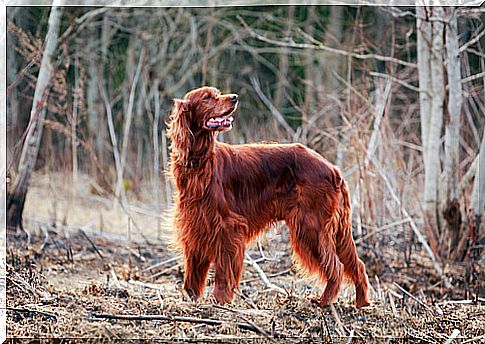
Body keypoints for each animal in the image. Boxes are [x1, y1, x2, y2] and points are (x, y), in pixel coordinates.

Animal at [168, 86, 368, 310]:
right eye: (206, 97)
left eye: (216, 93)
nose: (234, 97)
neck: (200, 163)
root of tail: (333, 169)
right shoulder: (195, 225)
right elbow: (192, 271)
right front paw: (189, 298)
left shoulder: (228, 227)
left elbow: (223, 269)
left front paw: (219, 300)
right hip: (333, 230)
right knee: (357, 265)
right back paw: (362, 302)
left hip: (311, 226)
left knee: (336, 266)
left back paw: (324, 301)